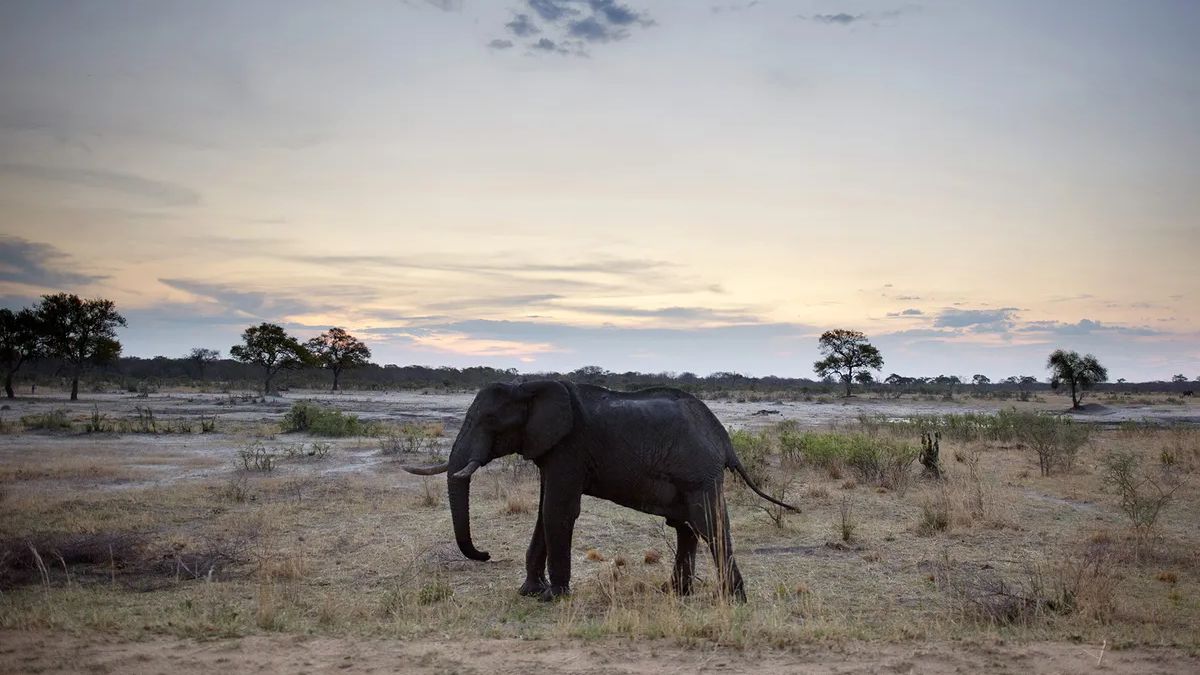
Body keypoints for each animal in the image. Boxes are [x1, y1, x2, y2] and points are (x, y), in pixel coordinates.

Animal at [402, 380, 798, 602]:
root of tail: (725, 439)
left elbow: (558, 510)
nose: (485, 554)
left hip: (699, 474)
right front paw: (529, 592)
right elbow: (544, 511)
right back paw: (675, 593)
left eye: (490, 421)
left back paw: (733, 599)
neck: (528, 388)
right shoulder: (551, 449)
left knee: (709, 525)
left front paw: (553, 598)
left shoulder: (569, 447)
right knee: (686, 529)